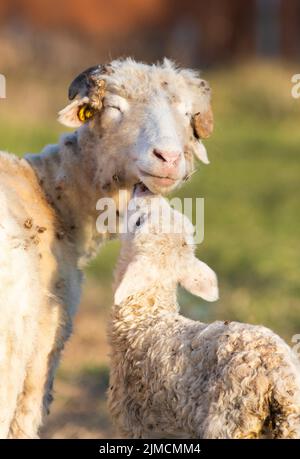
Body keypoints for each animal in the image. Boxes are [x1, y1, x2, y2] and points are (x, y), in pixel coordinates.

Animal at [109, 185, 300, 440]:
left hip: (228, 418)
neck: (147, 316)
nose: (144, 188)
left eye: (138, 222)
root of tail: (278, 377)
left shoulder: (135, 421)